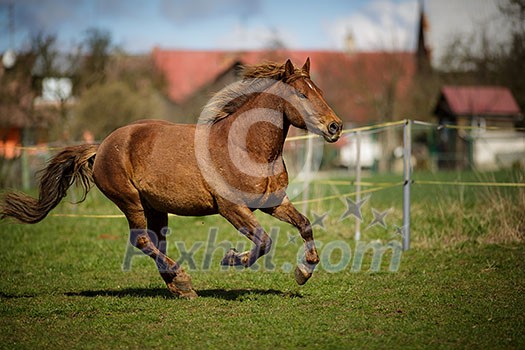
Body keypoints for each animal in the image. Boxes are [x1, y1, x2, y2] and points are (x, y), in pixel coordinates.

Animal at [0, 57, 342, 298]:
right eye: (300, 94)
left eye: (321, 92)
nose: (335, 127)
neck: (246, 148)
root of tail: (102, 146)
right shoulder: (231, 208)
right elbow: (264, 241)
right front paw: (232, 259)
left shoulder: (273, 202)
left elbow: (304, 224)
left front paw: (303, 272)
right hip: (131, 201)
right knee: (140, 240)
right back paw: (183, 278)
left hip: (156, 207)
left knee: (155, 242)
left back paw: (179, 286)